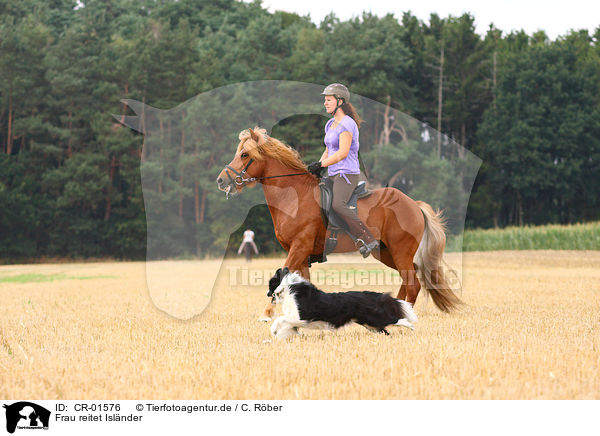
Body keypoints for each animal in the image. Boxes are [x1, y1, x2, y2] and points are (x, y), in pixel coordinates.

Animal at [218, 127, 462, 318]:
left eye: (244, 154)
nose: (221, 180)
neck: (294, 197)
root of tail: (414, 204)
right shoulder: (302, 255)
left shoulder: (299, 247)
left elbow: (282, 278)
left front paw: (268, 313)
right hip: (387, 253)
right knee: (409, 281)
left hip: (400, 251)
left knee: (413, 284)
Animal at [268, 266, 418, 340]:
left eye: (270, 282)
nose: (267, 294)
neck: (287, 287)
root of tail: (378, 295)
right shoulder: (294, 319)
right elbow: (286, 326)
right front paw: (277, 337)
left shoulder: (301, 316)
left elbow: (280, 319)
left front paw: (273, 331)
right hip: (369, 324)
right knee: (385, 331)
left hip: (374, 318)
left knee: (397, 320)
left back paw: (412, 327)